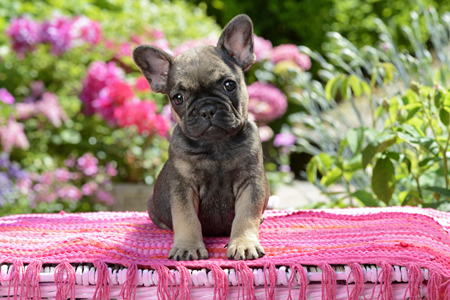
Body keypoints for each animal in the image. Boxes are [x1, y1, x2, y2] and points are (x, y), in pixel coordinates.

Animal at [132, 14, 268, 260]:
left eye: (229, 85)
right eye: (178, 98)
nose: (207, 109)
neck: (216, 146)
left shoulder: (250, 183)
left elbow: (245, 216)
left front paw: (243, 243)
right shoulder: (183, 187)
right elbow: (187, 219)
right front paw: (187, 246)